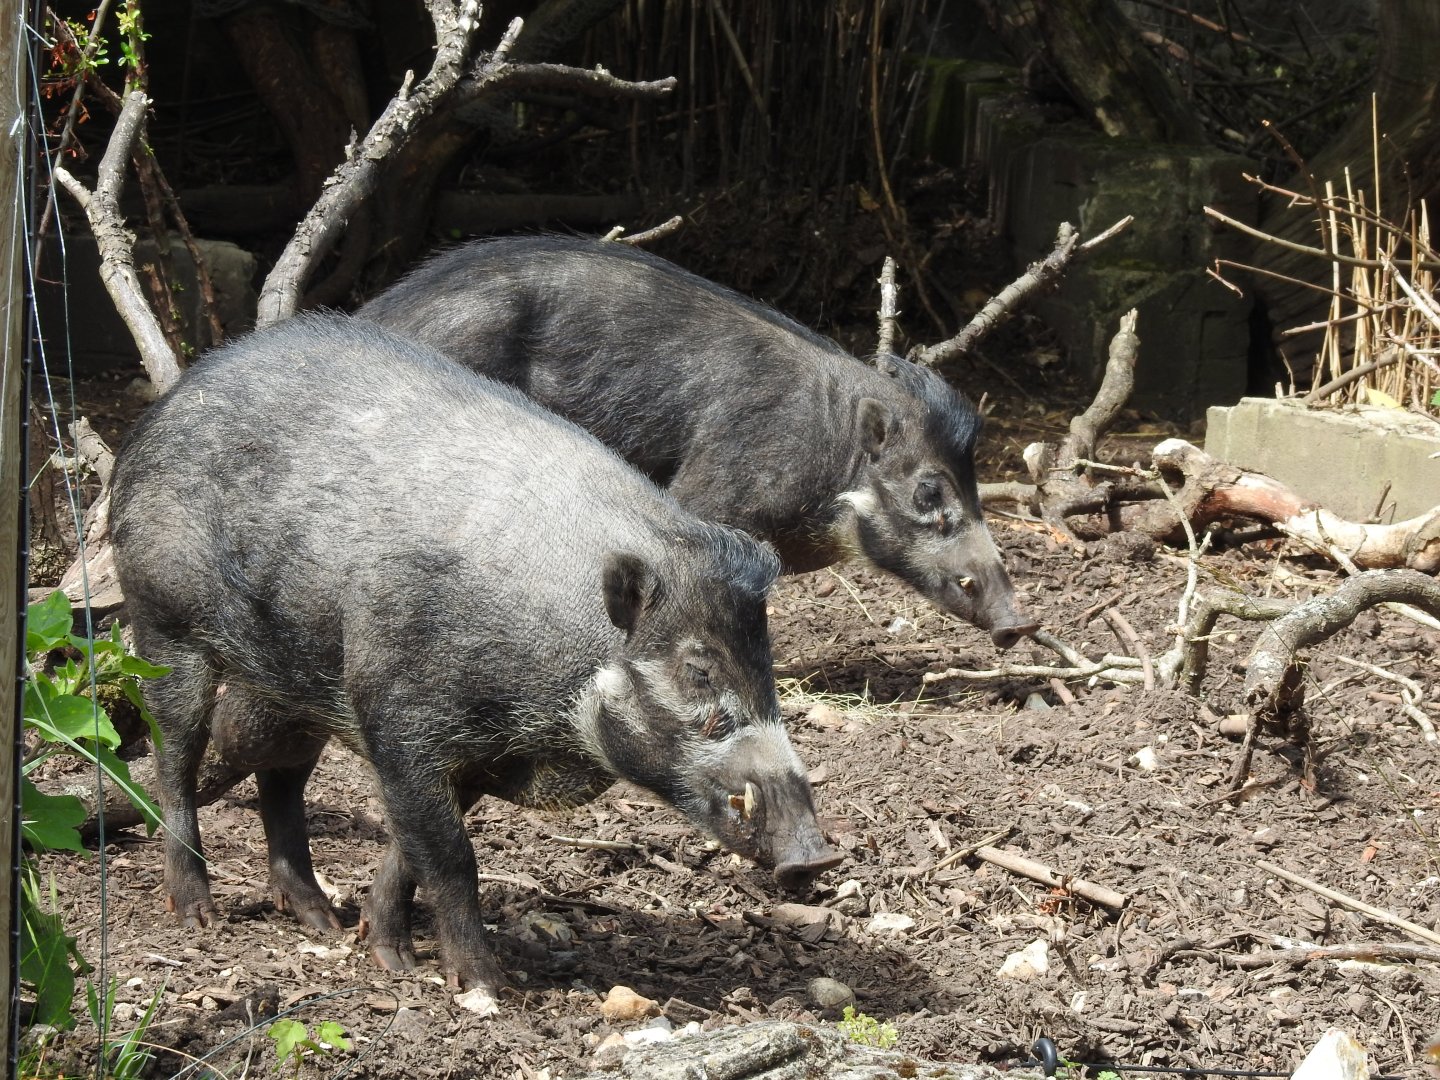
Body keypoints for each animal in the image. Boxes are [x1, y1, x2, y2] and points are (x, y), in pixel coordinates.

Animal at [109, 314, 840, 993]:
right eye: (698, 668)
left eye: (766, 665)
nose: (815, 857)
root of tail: (165, 407)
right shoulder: (400, 719)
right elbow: (450, 856)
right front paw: (482, 985)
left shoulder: (481, 755)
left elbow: (412, 851)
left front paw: (385, 951)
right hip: (162, 620)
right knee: (173, 758)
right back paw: (198, 914)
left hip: (293, 679)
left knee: (279, 775)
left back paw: (321, 921)